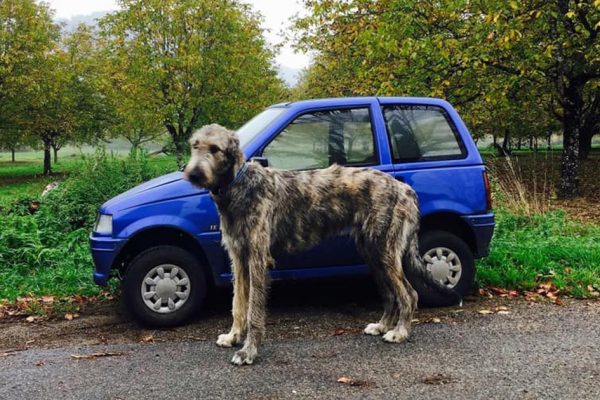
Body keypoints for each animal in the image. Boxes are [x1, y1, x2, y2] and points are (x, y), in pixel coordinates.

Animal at [184, 123, 460, 364]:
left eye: (215, 148)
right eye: (195, 145)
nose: (193, 173)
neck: (239, 185)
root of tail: (405, 189)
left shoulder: (258, 259)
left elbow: (254, 310)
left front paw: (248, 351)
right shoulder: (238, 258)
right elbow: (238, 304)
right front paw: (233, 337)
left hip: (385, 250)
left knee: (409, 294)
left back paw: (400, 332)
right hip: (372, 252)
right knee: (391, 294)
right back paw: (382, 325)